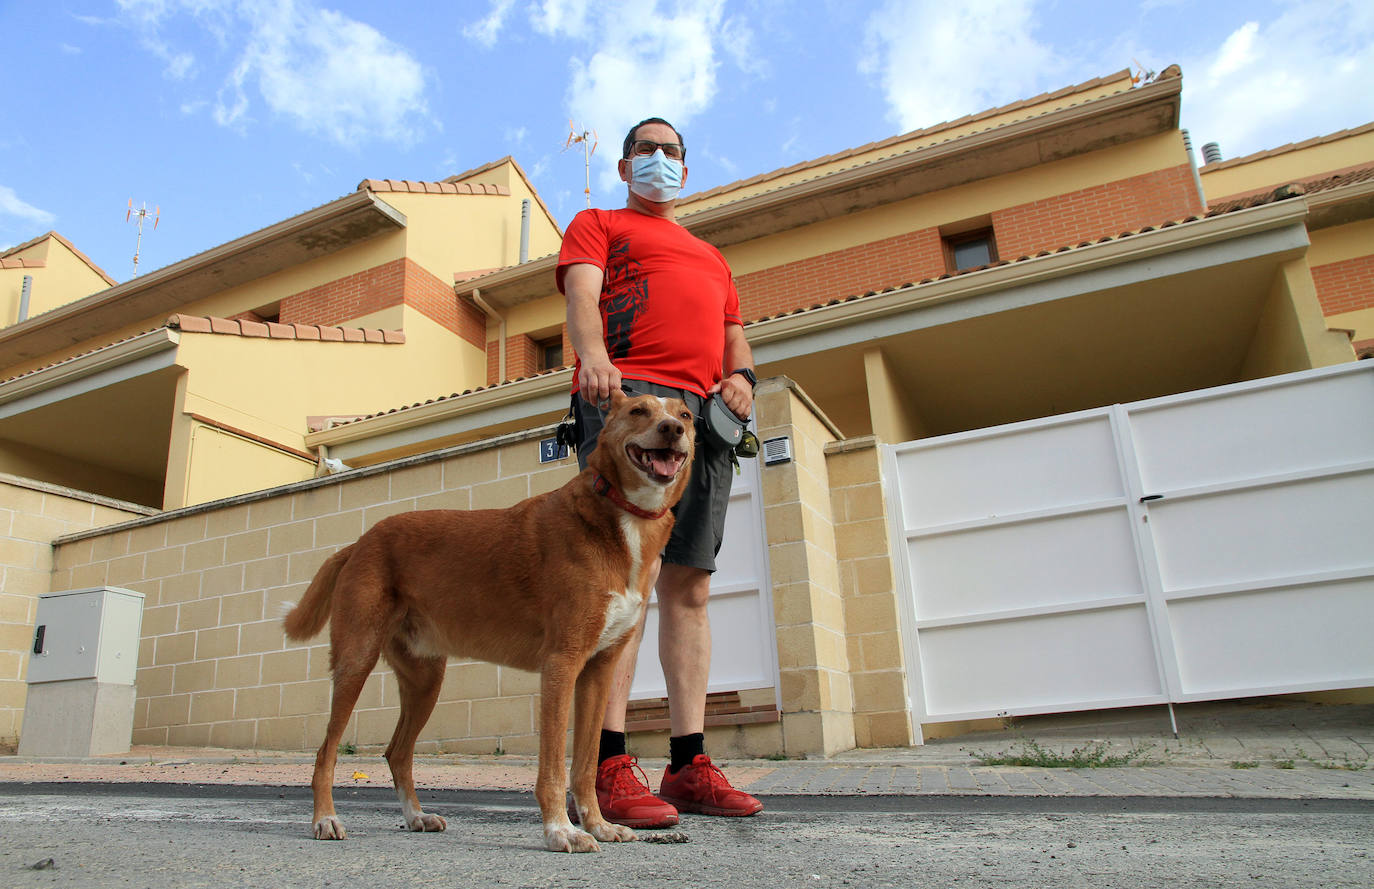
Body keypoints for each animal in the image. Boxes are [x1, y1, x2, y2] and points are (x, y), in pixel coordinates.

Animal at [287, 392, 697, 851]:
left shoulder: (598, 671)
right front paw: (560, 830)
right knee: (326, 751)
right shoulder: (561, 664)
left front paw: (598, 825)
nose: (672, 430)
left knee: (397, 752)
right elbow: (554, 768)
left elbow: (586, 764)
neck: (622, 516)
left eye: (685, 415)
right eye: (639, 411)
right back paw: (326, 819)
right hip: (356, 660)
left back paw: (416, 816)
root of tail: (360, 542)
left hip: (425, 679)